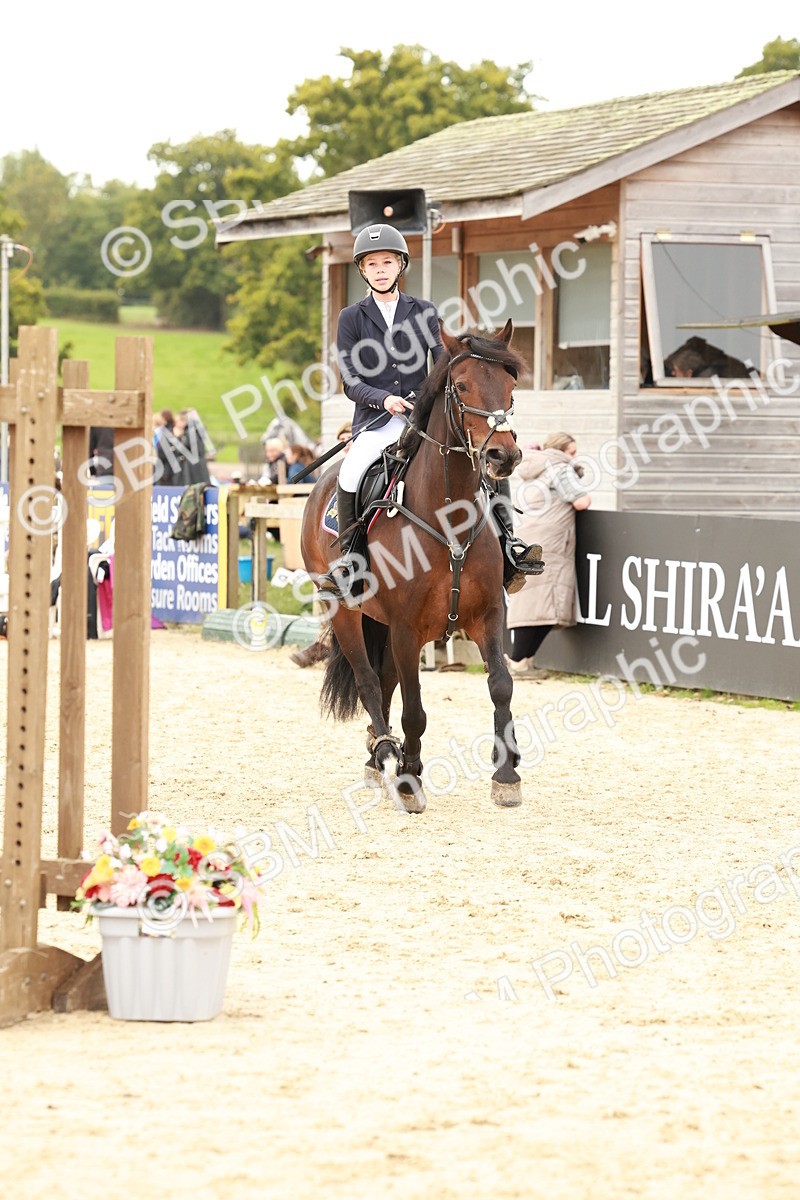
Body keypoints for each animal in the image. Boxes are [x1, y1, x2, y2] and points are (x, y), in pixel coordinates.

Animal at [300, 319, 527, 813]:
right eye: (461, 386)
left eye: (511, 387)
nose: (503, 456)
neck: (448, 518)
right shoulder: (407, 629)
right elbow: (415, 710)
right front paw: (409, 778)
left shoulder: (488, 616)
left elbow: (501, 685)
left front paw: (506, 775)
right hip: (343, 609)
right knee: (369, 682)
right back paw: (386, 751)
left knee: (384, 682)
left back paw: (376, 756)